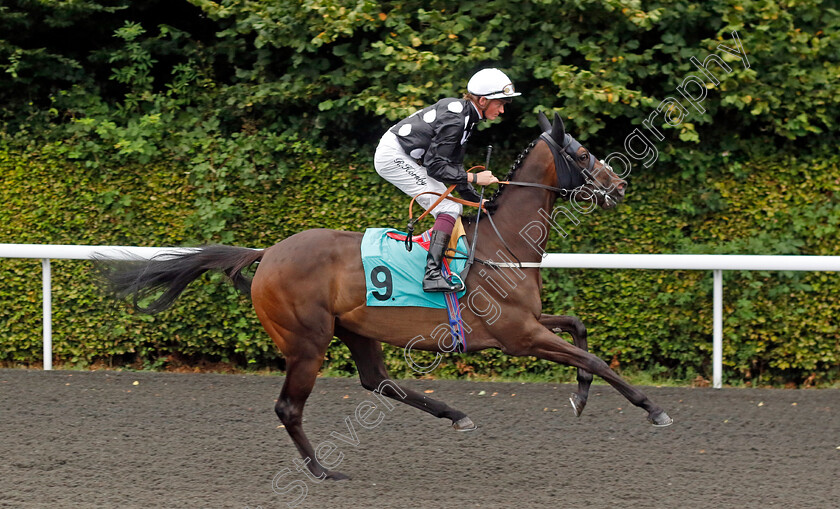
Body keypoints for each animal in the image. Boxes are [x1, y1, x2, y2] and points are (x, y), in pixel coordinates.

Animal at [100, 112, 676, 480]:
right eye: (583, 152)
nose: (619, 186)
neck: (503, 243)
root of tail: (268, 253)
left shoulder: (529, 323)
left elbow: (579, 327)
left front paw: (580, 397)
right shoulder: (519, 335)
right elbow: (593, 357)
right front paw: (651, 409)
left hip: (356, 329)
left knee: (378, 381)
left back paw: (454, 414)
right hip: (307, 343)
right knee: (290, 407)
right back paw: (323, 470)